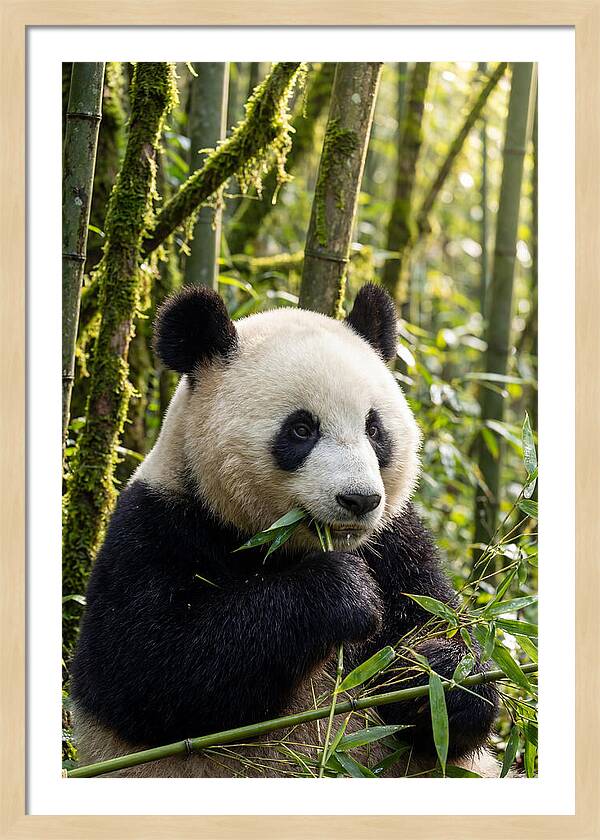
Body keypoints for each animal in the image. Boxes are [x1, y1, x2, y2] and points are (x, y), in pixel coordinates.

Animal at [70, 283, 498, 778]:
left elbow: (444, 639)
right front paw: (344, 593)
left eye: (374, 429)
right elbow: (150, 670)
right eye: (301, 429)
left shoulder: (396, 543)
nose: (359, 500)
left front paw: (439, 674)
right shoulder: (156, 527)